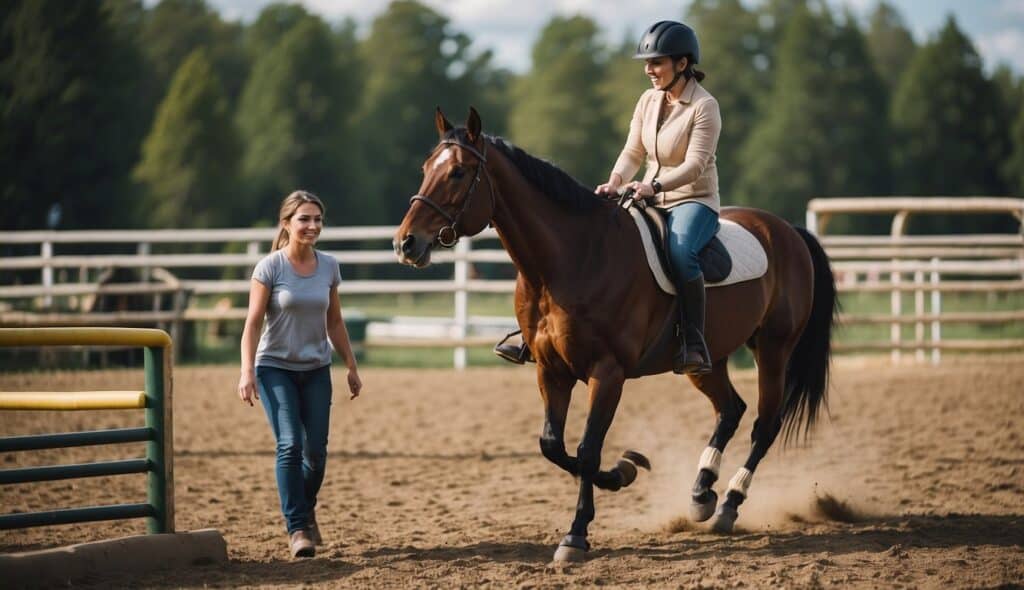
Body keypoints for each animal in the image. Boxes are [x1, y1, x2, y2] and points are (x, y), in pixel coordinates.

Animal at [395, 108, 835, 565]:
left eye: (458, 173)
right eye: (426, 169)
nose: (406, 243)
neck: (572, 258)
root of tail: (785, 230)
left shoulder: (607, 373)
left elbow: (588, 449)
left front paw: (576, 534)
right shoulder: (551, 371)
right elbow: (552, 445)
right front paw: (623, 471)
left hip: (774, 350)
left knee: (764, 424)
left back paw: (729, 504)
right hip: (705, 360)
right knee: (730, 410)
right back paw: (701, 494)